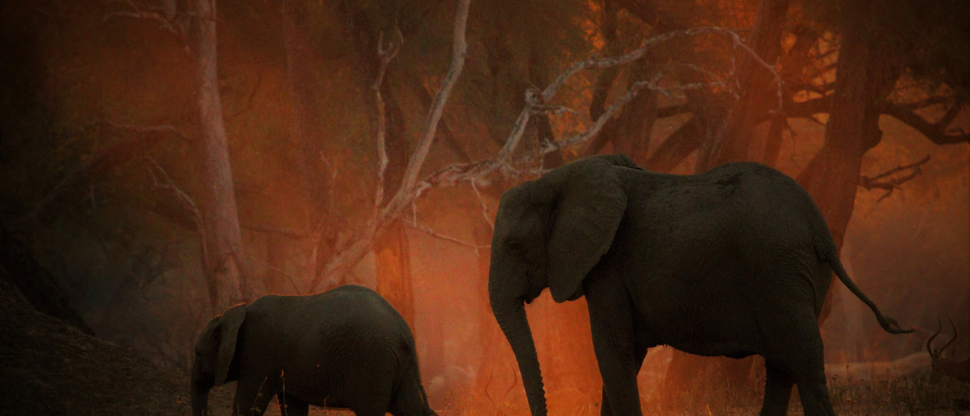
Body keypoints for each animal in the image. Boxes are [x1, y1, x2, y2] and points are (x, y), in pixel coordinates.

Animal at [191, 285, 435, 416]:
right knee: (410, 408)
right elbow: (293, 406)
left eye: (198, 353)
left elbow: (247, 404)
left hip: (374, 362)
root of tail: (405, 332)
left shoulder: (258, 356)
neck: (234, 312)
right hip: (398, 365)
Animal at [487, 155, 911, 416]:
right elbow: (624, 356)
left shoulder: (607, 266)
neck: (554, 179)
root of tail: (819, 225)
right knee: (782, 366)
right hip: (796, 276)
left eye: (514, 243)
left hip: (779, 271)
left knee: (802, 360)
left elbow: (613, 351)